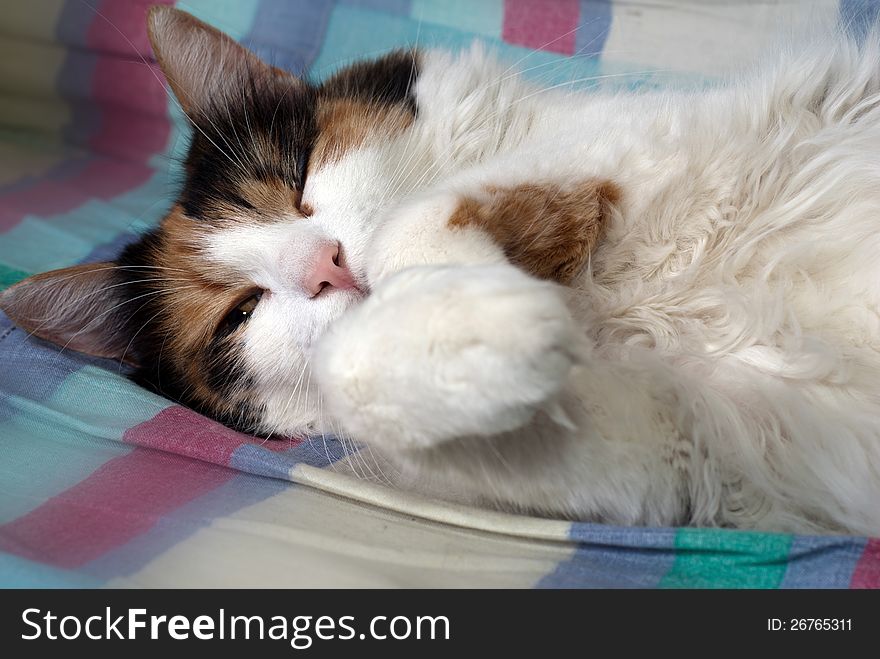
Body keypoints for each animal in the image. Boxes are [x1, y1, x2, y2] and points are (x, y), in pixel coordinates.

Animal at [1, 6, 880, 536]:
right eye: (239, 315)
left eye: (299, 179)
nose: (325, 266)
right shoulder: (701, 450)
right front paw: (494, 337)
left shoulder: (626, 147)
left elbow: (411, 225)